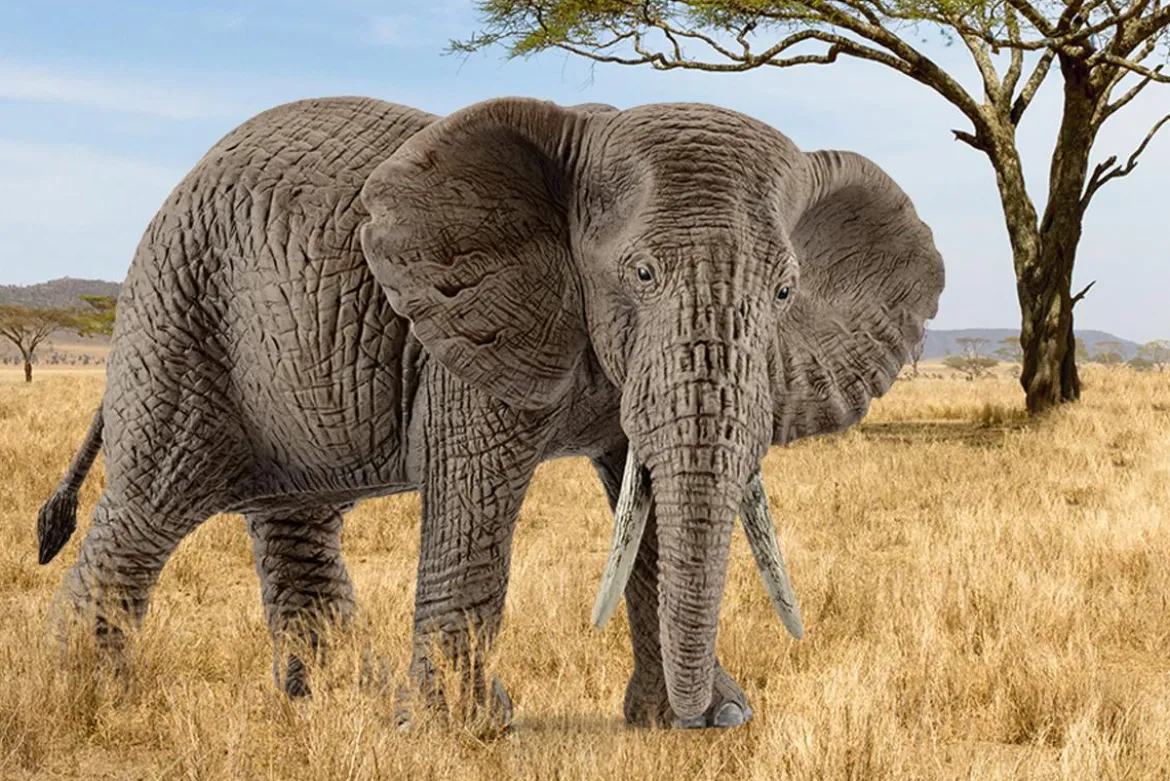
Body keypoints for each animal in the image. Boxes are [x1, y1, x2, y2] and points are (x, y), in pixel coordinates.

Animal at [36, 95, 944, 730]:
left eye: (786, 292)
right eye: (642, 274)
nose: (713, 715)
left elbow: (644, 499)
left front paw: (701, 721)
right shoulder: (467, 329)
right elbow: (476, 495)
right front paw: (464, 732)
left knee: (297, 521)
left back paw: (334, 704)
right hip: (181, 313)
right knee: (148, 507)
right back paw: (90, 706)